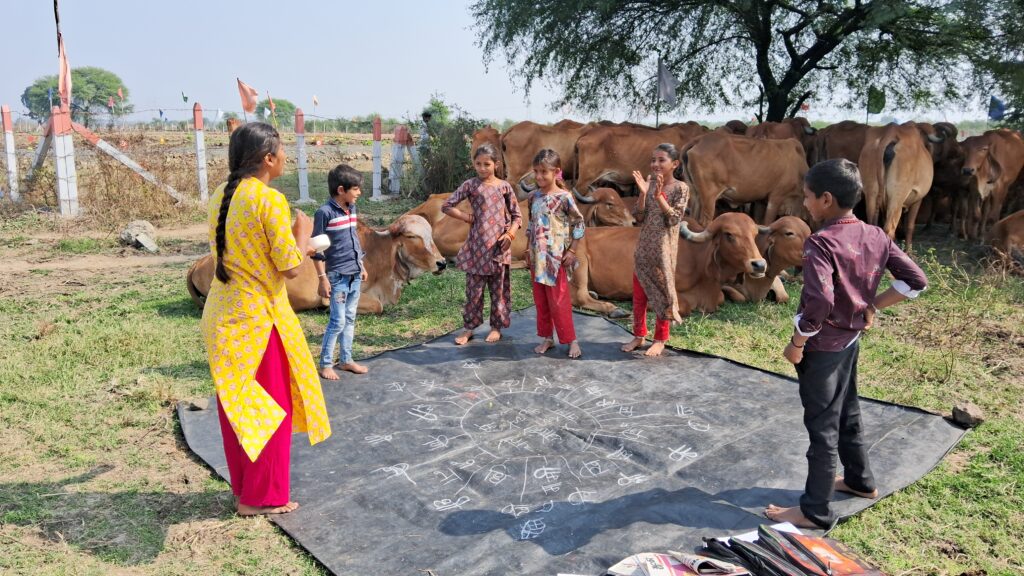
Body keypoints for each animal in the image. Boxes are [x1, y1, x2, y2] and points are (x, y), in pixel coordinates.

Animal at [567, 212, 768, 317]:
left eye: (754, 234)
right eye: (729, 235)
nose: (759, 264)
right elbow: (681, 307)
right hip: (579, 261)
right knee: (581, 296)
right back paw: (614, 309)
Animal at [858, 122, 940, 250]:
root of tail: (891, 132)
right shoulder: (918, 199)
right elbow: (910, 226)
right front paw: (909, 251)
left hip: (871, 193)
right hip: (897, 196)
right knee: (889, 230)